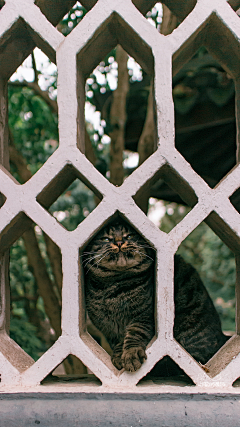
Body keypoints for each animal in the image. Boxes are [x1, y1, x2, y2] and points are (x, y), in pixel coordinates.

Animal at [83, 221, 228, 374]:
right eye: (106, 239)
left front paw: (130, 354)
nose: (119, 242)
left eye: (129, 235)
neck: (113, 286)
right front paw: (118, 355)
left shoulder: (144, 314)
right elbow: (117, 341)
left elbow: (135, 333)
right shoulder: (107, 327)